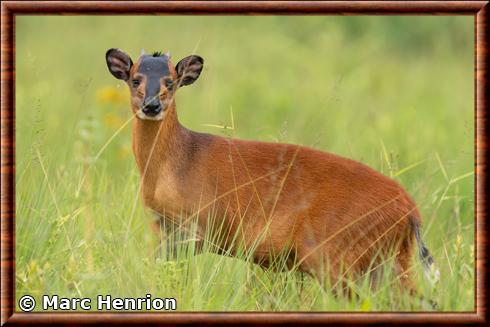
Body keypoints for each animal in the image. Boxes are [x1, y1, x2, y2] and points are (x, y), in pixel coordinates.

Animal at [105, 48, 438, 300]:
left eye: (170, 81)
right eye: (135, 79)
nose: (151, 105)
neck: (176, 164)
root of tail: (410, 212)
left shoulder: (194, 228)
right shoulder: (162, 228)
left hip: (337, 259)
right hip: (388, 262)